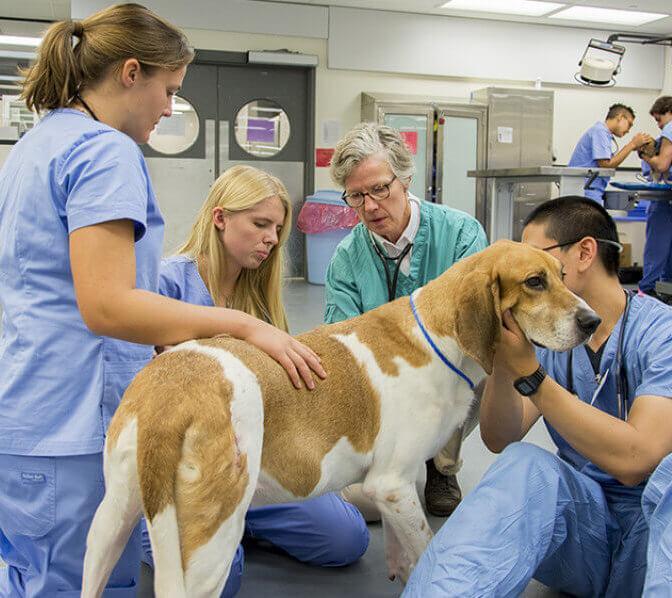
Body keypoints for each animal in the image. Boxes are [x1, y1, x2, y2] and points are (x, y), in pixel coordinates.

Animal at [81, 241, 600, 596]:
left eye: (562, 274)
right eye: (534, 282)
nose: (593, 321)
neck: (439, 336)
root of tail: (172, 392)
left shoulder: (392, 492)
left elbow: (402, 547)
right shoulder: (391, 482)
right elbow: (426, 548)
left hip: (110, 524)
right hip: (212, 543)